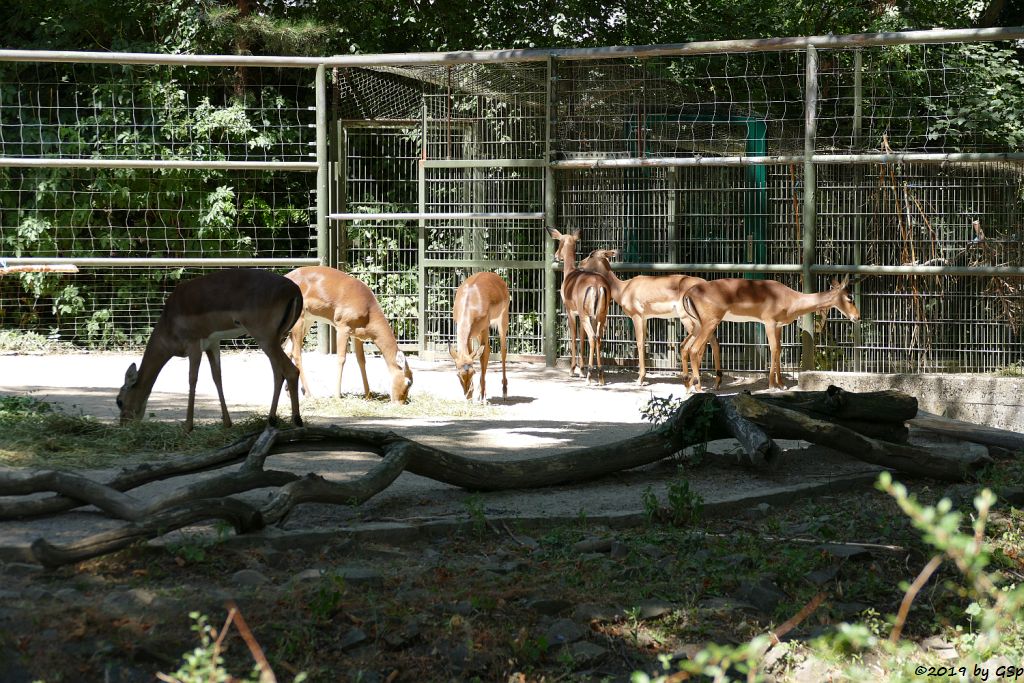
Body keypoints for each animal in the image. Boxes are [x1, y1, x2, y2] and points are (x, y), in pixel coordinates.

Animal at [117, 268, 299, 432]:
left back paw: (296, 421)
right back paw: (271, 421)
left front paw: (188, 426)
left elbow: (192, 379)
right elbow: (217, 377)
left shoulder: (194, 345)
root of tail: (293, 289)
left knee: (291, 371)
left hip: (265, 340)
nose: (123, 425)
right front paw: (227, 423)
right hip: (276, 340)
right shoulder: (212, 344)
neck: (169, 320)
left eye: (119, 400)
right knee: (278, 374)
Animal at [284, 266, 411, 405]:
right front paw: (337, 396)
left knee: (287, 350)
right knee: (296, 354)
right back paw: (309, 394)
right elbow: (341, 359)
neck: (368, 309)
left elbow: (361, 361)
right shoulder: (342, 328)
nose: (400, 402)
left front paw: (368, 395)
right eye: (409, 382)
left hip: (307, 321)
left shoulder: (357, 336)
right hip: (299, 322)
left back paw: (289, 392)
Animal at [450, 270, 509, 403]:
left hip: (502, 320)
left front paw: (483, 397)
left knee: (503, 350)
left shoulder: (485, 328)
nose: (467, 396)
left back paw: (504, 392)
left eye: (473, 372)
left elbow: (484, 355)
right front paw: (477, 395)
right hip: (476, 334)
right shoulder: (469, 335)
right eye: (458, 374)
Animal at [581, 248, 724, 387]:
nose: (580, 264)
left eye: (591, 254)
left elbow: (639, 343)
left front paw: (640, 379)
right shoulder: (645, 319)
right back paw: (715, 383)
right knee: (714, 341)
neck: (623, 288)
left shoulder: (637, 317)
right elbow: (644, 342)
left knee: (703, 344)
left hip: (689, 320)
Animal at [679, 276, 864, 393]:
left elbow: (780, 350)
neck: (791, 298)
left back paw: (690, 386)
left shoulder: (779, 326)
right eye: (849, 297)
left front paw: (781, 384)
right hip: (710, 324)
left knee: (686, 347)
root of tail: (689, 292)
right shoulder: (769, 323)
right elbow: (773, 350)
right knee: (694, 349)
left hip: (698, 326)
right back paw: (698, 388)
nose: (857, 317)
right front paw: (772, 385)